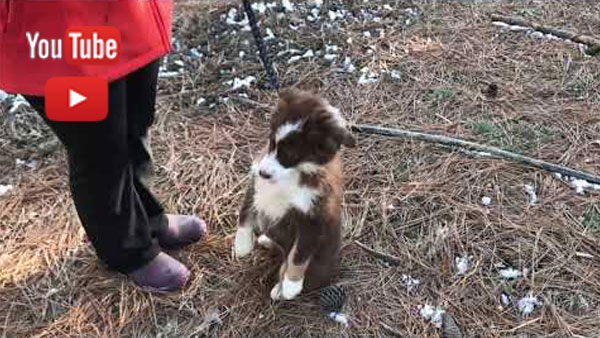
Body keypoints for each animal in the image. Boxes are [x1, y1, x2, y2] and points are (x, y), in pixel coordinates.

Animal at [233, 88, 356, 300]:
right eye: (271, 143)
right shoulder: (256, 185)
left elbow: (299, 255)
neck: (291, 174)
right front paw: (241, 245)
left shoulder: (312, 219)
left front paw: (291, 284)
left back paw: (279, 290)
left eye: (290, 154)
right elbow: (245, 212)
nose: (264, 173)